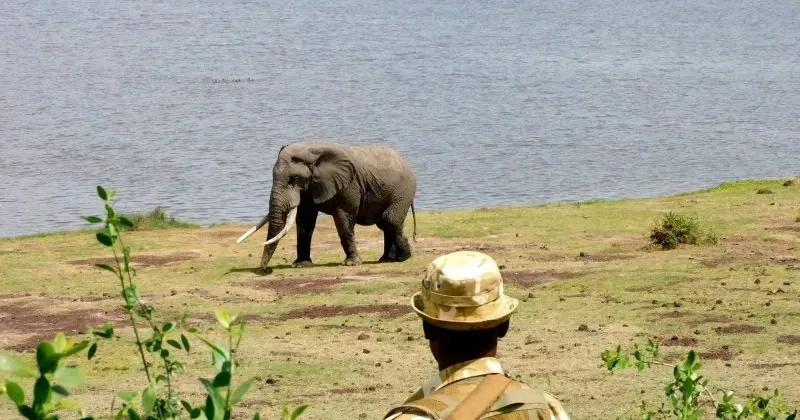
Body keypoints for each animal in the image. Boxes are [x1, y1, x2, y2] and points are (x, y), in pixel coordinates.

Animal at [236, 140, 417, 273]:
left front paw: (351, 264)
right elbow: (305, 222)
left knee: (389, 220)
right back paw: (386, 260)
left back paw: (403, 257)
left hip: (403, 191)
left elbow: (343, 221)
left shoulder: (348, 185)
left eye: (293, 179)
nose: (266, 270)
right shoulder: (309, 188)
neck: (311, 154)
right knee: (386, 223)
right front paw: (300, 265)